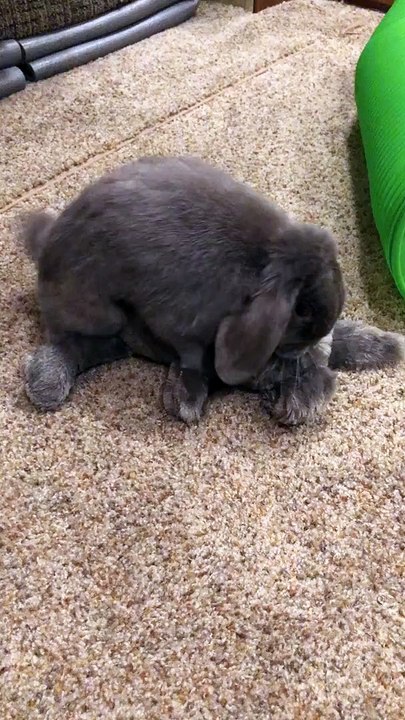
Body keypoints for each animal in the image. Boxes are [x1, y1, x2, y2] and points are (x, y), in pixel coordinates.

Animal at [20, 154, 398, 426]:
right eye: (302, 311)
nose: (311, 347)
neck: (267, 258)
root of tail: (44, 246)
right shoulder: (182, 321)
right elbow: (192, 359)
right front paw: (187, 398)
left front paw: (389, 345)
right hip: (101, 316)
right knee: (65, 340)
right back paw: (46, 383)